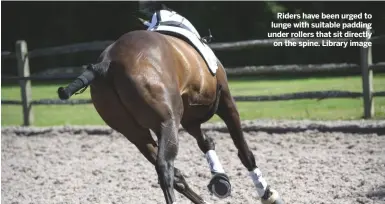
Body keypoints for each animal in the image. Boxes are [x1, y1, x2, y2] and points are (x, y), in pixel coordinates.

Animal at [57, 29, 282, 204]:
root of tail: (107, 63)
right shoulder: (226, 102)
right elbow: (245, 152)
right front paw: (267, 194)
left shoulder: (190, 120)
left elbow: (206, 142)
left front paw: (220, 180)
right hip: (167, 124)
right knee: (165, 168)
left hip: (135, 134)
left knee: (172, 172)